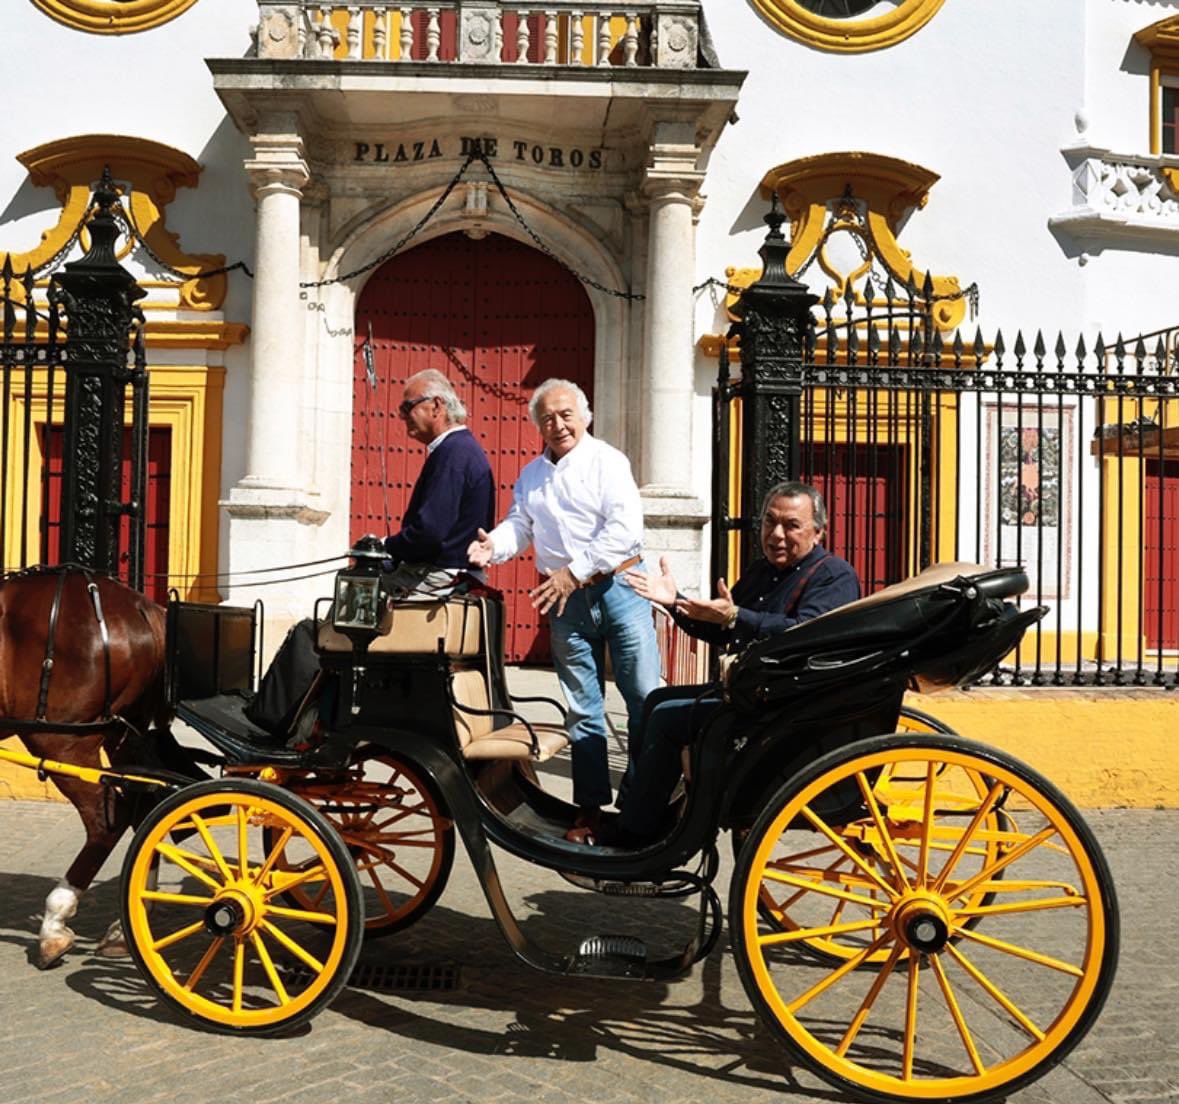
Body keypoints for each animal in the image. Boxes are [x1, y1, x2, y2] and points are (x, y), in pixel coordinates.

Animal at [0, 568, 172, 967]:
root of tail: (140, 605)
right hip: (124, 735)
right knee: (144, 810)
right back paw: (126, 926)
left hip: (63, 741)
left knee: (106, 820)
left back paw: (55, 922)